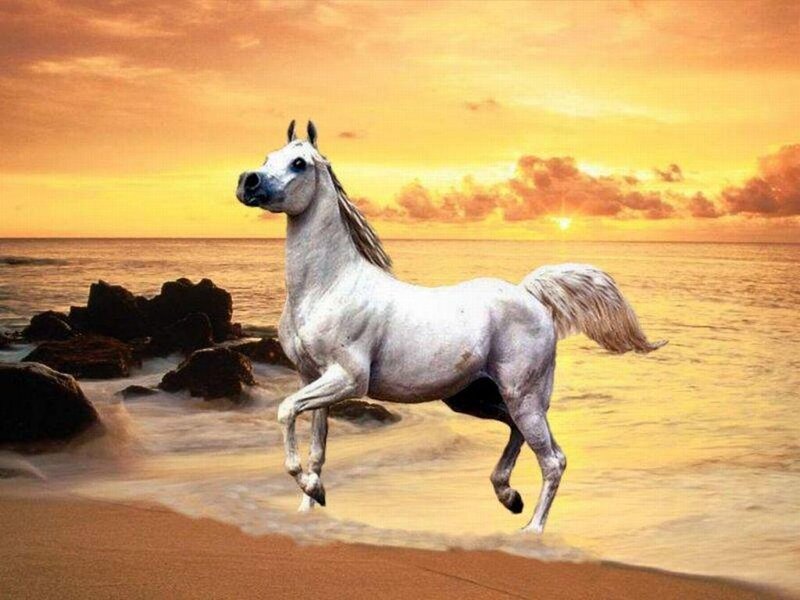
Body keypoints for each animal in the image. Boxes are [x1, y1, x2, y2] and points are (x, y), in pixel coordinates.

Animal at [236, 121, 665, 533]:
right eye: (267, 156)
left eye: (299, 163)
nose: (248, 182)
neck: (328, 286)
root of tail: (530, 295)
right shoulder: (312, 376)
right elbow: (316, 448)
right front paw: (311, 500)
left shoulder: (348, 379)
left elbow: (285, 411)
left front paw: (309, 487)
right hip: (473, 397)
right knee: (520, 433)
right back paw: (508, 495)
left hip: (522, 395)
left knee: (553, 459)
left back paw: (531, 530)